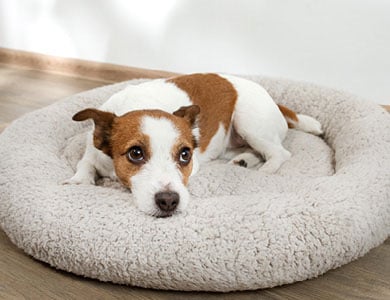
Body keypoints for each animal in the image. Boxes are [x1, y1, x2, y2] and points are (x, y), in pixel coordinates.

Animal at [66, 74, 322, 217]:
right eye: (135, 153)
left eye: (185, 155)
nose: (169, 201)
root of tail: (274, 102)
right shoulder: (93, 153)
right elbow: (85, 164)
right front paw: (80, 180)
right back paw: (244, 160)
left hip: (250, 121)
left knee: (279, 152)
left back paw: (265, 170)